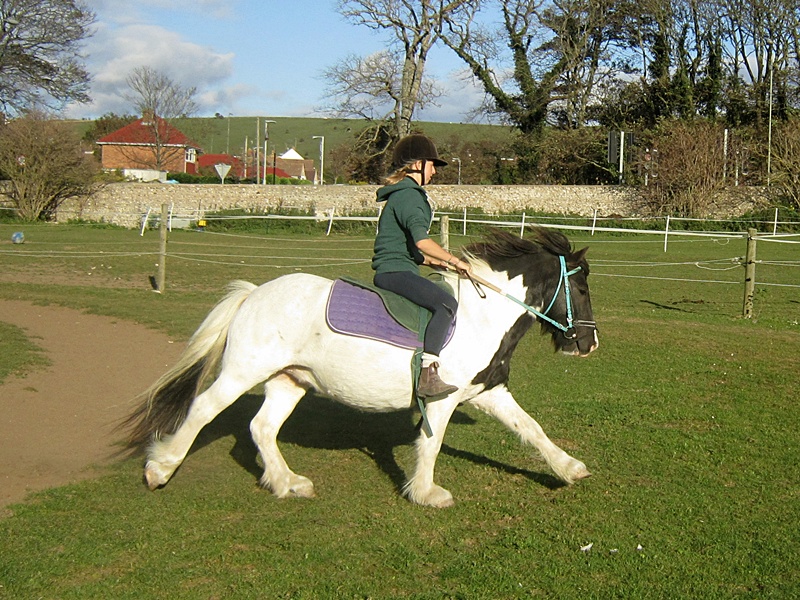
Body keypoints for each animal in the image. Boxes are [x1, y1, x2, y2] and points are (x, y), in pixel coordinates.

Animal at [123, 227, 598, 508]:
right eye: (579, 287)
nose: (589, 344)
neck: (482, 317)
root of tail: (254, 293)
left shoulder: (488, 392)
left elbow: (531, 429)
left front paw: (569, 468)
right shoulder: (442, 399)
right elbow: (432, 444)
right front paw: (426, 493)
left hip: (289, 381)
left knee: (262, 428)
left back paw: (287, 482)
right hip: (244, 372)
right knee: (203, 409)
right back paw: (159, 470)